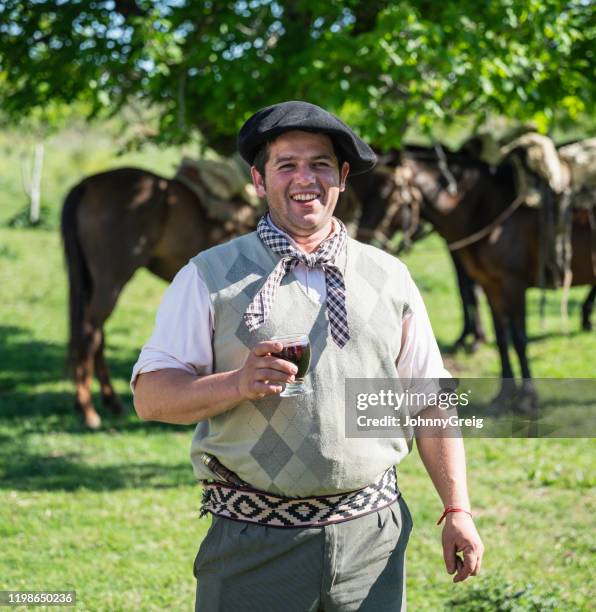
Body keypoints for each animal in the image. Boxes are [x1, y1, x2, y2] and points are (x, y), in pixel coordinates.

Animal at [61, 165, 358, 428]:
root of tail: (88, 184)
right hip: (111, 280)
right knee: (90, 334)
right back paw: (89, 411)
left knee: (95, 334)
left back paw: (107, 402)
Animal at [356, 147, 592, 416]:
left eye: (388, 195)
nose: (362, 237)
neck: (489, 212)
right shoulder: (491, 285)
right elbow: (501, 338)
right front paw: (504, 394)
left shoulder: (513, 285)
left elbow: (519, 338)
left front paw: (527, 397)